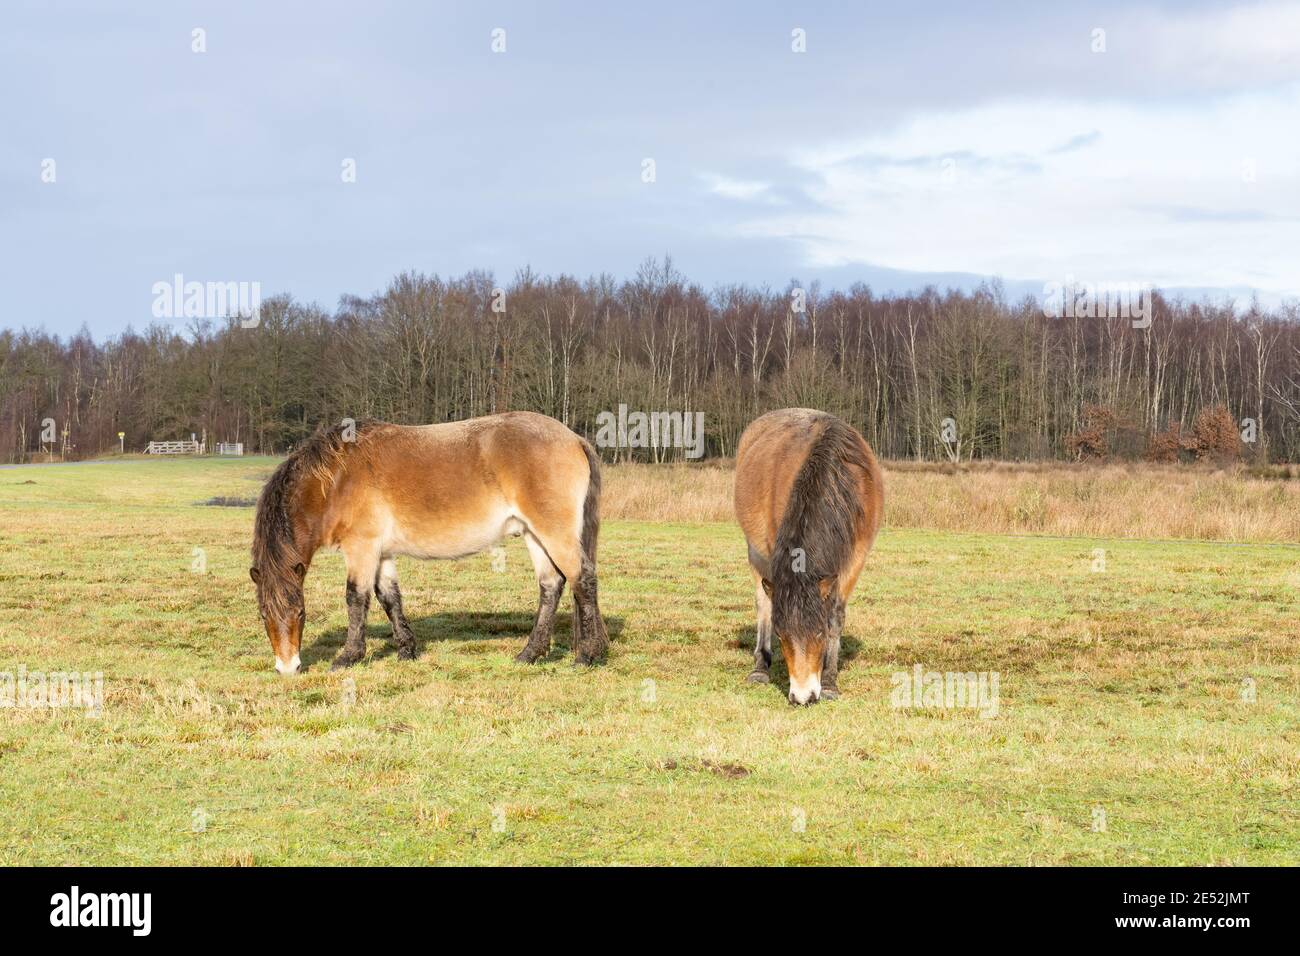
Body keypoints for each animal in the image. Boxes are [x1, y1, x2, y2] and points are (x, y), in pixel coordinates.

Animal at [249, 411, 608, 671]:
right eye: (264, 615)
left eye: (301, 614)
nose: (287, 668)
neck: (337, 479)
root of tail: (574, 439)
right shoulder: (381, 552)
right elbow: (389, 598)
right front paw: (407, 650)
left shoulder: (361, 548)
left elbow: (356, 598)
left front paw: (348, 657)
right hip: (534, 534)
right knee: (551, 586)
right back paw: (529, 654)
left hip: (554, 532)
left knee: (582, 580)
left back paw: (586, 656)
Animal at [733, 408, 883, 707]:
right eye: (782, 635)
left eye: (819, 633)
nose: (803, 697)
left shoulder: (855, 559)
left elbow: (836, 614)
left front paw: (830, 681)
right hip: (755, 552)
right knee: (763, 603)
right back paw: (760, 667)